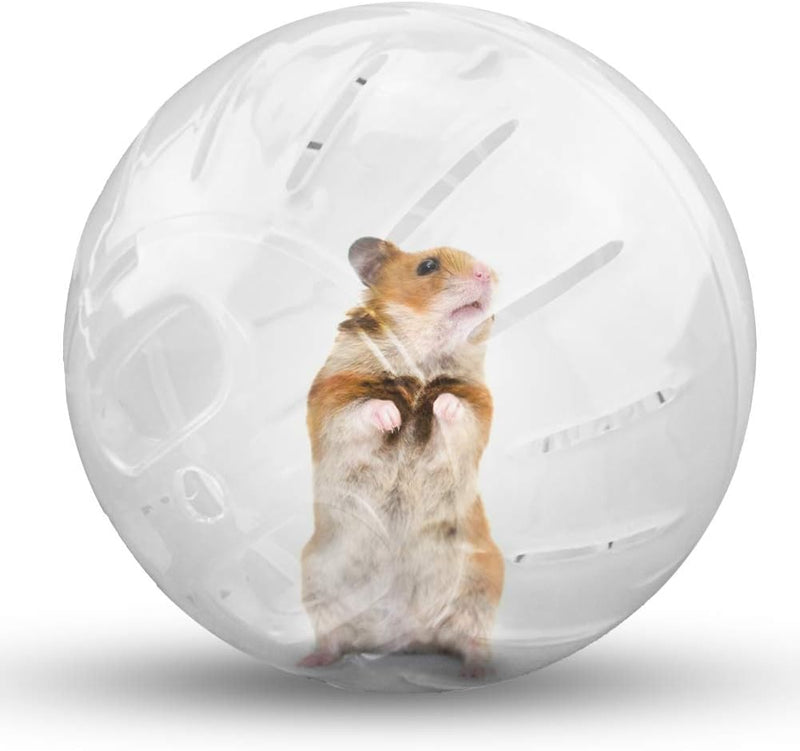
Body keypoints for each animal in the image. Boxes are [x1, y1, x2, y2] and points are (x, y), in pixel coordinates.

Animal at [300, 236, 503, 677]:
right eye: (427, 266)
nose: (488, 272)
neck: (423, 358)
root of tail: (405, 635)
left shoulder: (477, 407)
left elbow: (455, 408)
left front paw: (439, 406)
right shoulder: (334, 399)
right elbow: (364, 410)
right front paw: (393, 416)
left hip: (481, 583)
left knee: (470, 637)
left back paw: (478, 671)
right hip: (318, 580)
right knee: (333, 637)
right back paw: (310, 661)